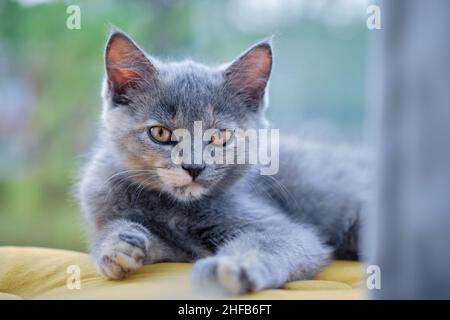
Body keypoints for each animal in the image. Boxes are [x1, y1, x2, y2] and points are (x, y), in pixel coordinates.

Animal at [78, 30, 370, 296]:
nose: (194, 167)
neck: (175, 208)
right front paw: (116, 244)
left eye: (219, 136)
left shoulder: (285, 229)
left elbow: (268, 241)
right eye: (160, 133)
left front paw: (230, 265)